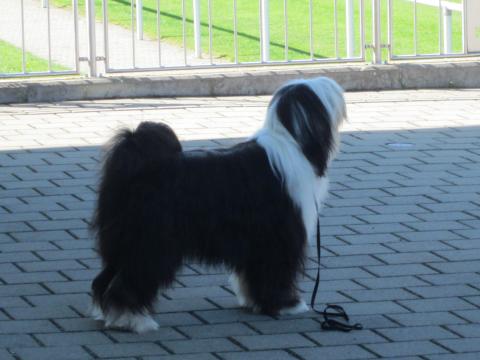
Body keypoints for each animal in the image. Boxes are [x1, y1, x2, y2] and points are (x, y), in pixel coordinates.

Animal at [90, 77, 344, 334]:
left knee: (106, 277)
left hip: (121, 239)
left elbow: (251, 274)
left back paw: (106, 313)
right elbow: (275, 271)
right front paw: (287, 304)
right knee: (131, 279)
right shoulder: (279, 236)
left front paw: (254, 301)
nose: (339, 90)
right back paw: (134, 319)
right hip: (153, 241)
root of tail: (137, 169)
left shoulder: (254, 240)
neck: (292, 142)